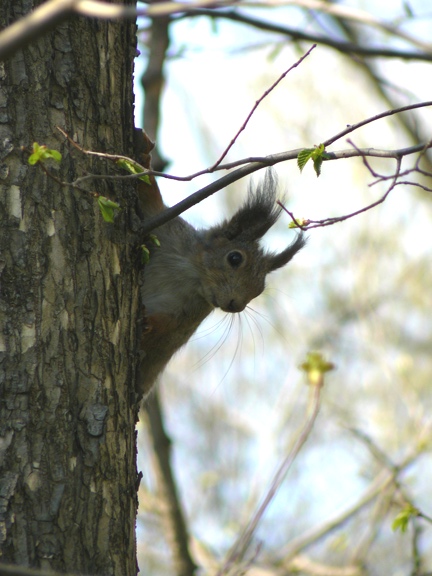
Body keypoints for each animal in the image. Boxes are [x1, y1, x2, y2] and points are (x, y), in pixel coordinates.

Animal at [137, 139, 306, 398]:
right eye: (234, 258)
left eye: (259, 289)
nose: (236, 305)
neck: (189, 273)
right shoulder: (164, 227)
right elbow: (150, 198)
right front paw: (143, 152)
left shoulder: (186, 314)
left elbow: (167, 329)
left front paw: (150, 322)